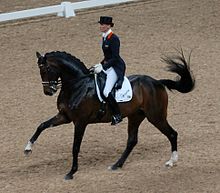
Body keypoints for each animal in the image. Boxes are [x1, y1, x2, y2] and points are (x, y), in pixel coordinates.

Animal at [24, 49, 194, 179]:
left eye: (46, 69)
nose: (48, 91)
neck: (77, 85)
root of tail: (157, 82)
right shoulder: (65, 117)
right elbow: (42, 125)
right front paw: (28, 149)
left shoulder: (80, 122)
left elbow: (75, 147)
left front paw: (71, 172)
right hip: (135, 116)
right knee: (132, 140)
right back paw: (116, 165)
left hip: (156, 116)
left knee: (172, 134)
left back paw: (171, 162)